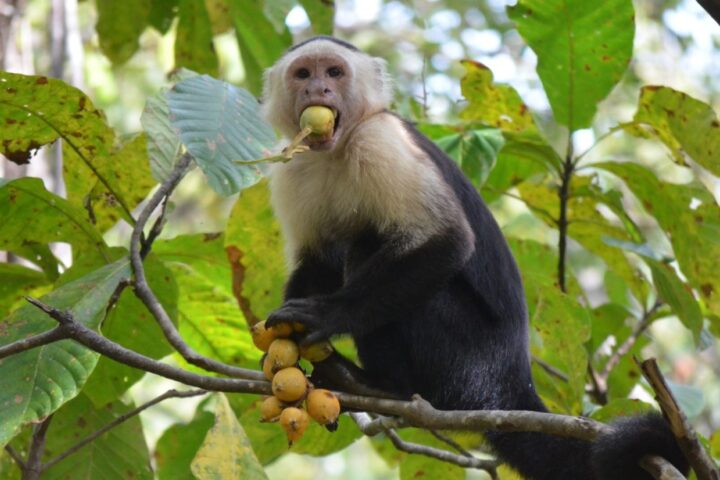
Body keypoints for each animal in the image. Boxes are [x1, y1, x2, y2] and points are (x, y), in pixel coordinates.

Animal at [262, 36, 688, 480]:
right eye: (303, 74)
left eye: (334, 72)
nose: (318, 90)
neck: (337, 149)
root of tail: (511, 382)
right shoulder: (292, 166)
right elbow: (316, 262)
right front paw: (281, 341)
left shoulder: (380, 141)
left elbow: (448, 242)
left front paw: (328, 315)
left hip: (468, 361)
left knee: (372, 246)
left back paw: (381, 384)